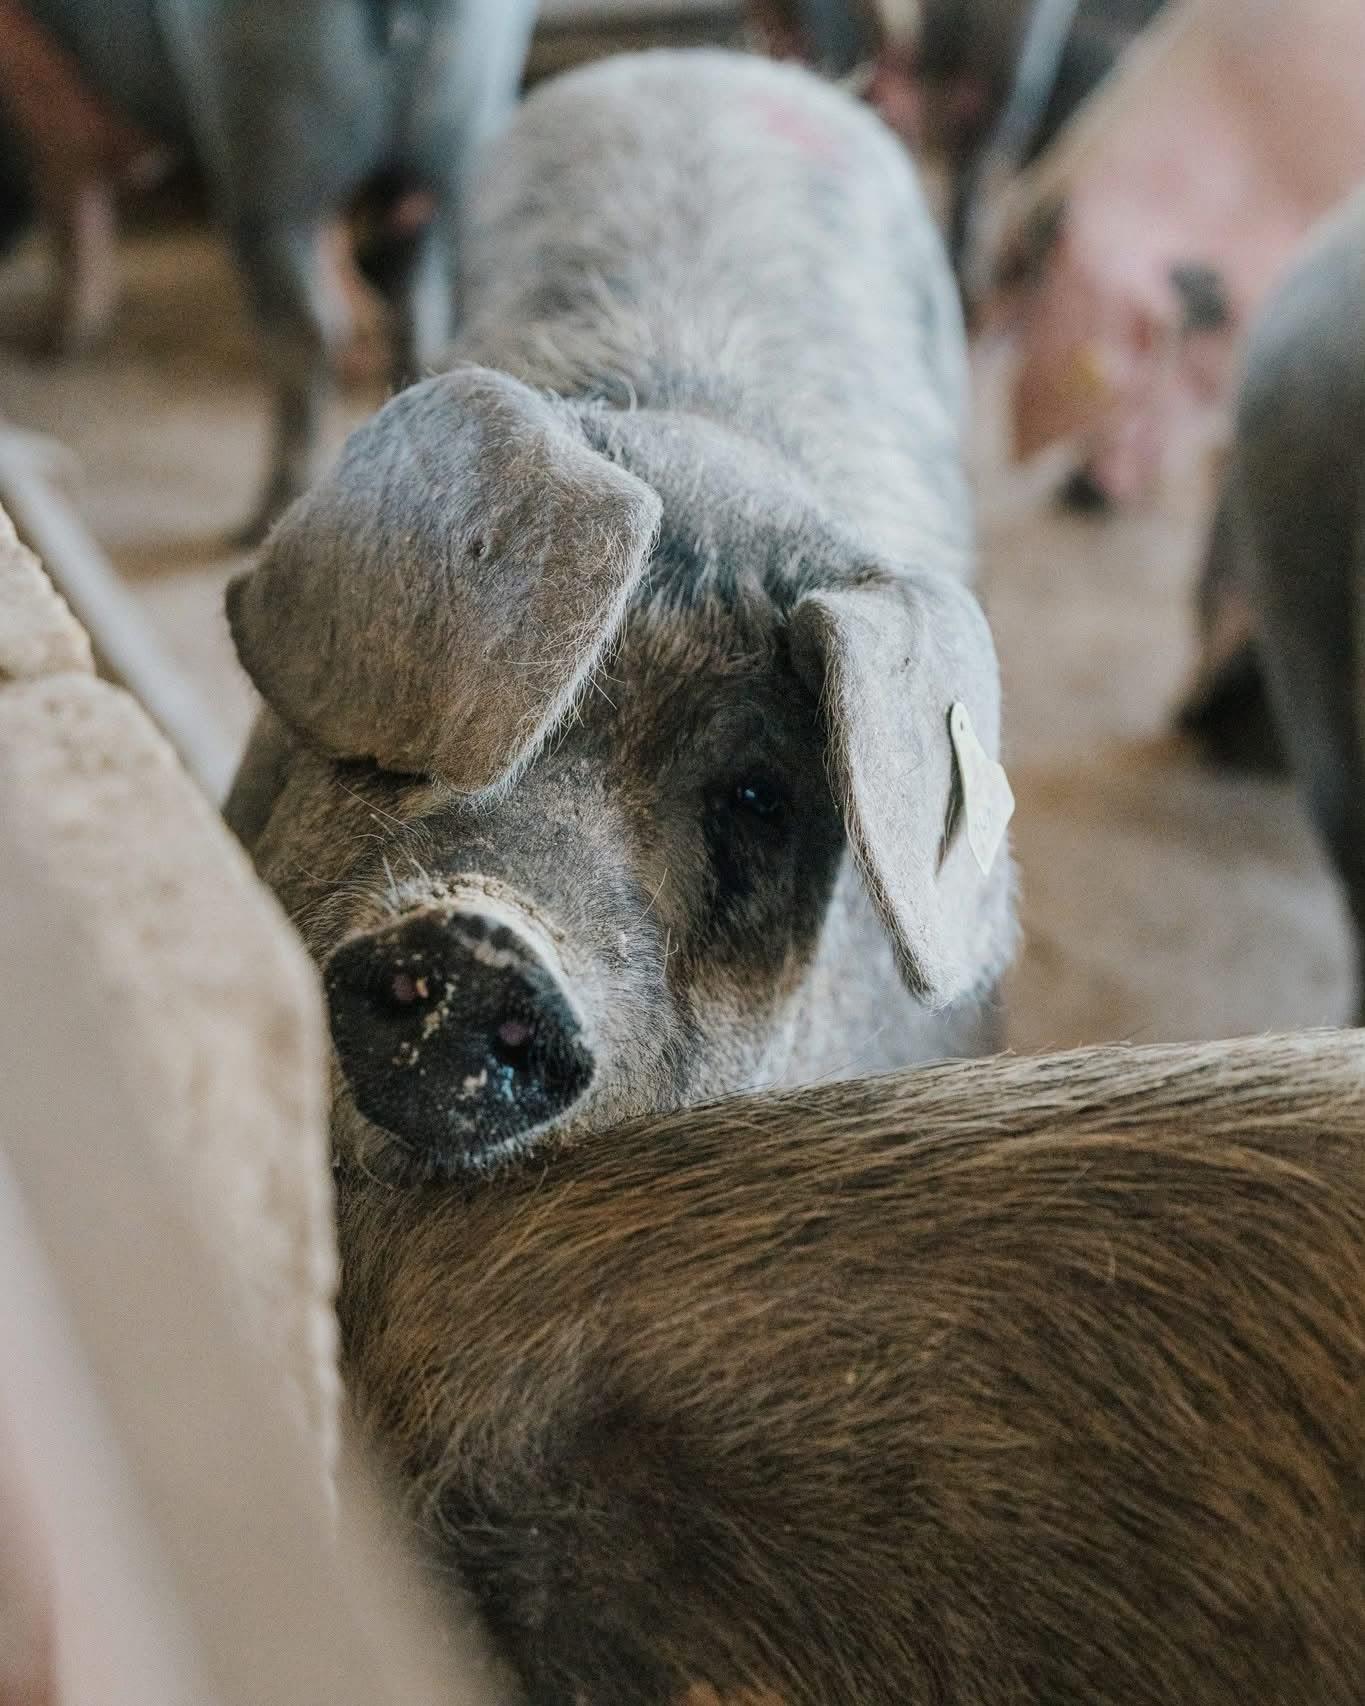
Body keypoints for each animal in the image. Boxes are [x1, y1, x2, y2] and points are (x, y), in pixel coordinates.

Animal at [0, 0, 539, 536]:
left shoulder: (47, 100)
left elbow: (68, 204)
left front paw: (59, 341)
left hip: (271, 151)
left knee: (308, 328)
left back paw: (263, 515)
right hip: (454, 156)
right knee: (418, 308)